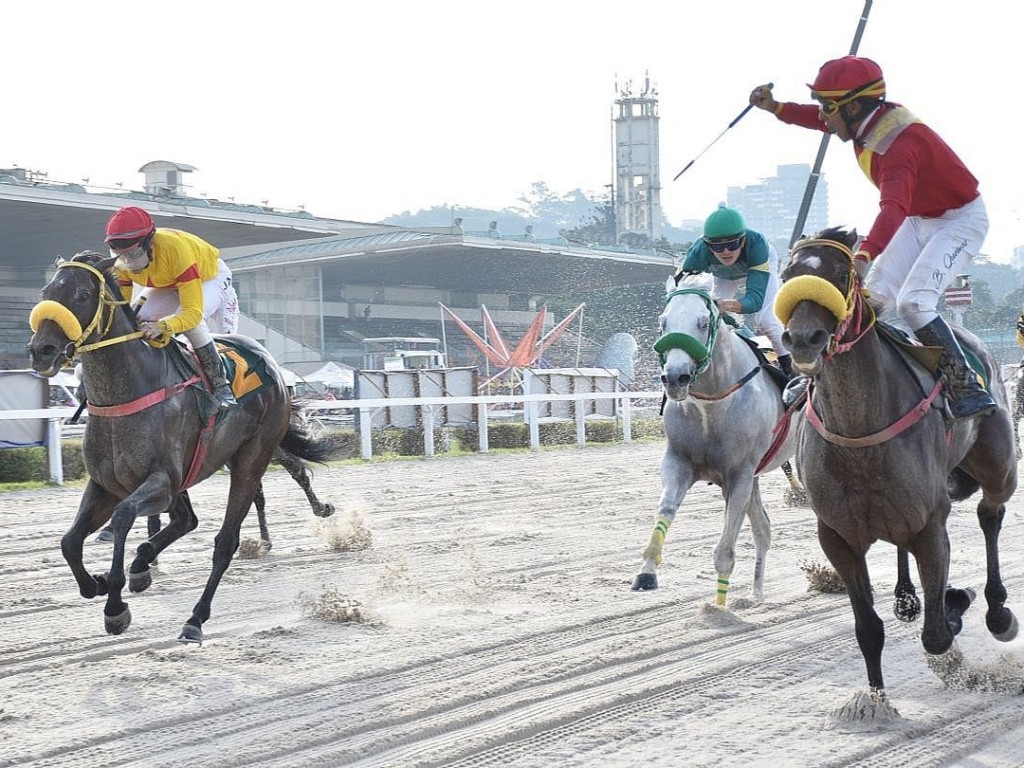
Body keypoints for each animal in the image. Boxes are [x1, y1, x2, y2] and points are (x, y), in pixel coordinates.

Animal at [27, 252, 344, 643]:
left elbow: (123, 517)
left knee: (228, 538)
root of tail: (270, 362)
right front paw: (97, 583)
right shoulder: (105, 484)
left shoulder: (161, 481)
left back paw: (195, 618)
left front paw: (115, 605)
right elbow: (69, 542)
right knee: (187, 520)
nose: (41, 350)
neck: (130, 392)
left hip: (251, 457)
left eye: (83, 295)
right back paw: (143, 566)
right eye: (46, 292)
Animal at [630, 274, 806, 606]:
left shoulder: (738, 476)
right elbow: (666, 509)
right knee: (763, 529)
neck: (712, 403)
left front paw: (719, 609)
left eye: (702, 323)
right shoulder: (680, 462)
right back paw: (756, 593)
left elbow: (725, 550)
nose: (675, 378)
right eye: (663, 322)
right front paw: (646, 572)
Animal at [774, 227, 1015, 720]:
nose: (802, 339)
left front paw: (955, 601)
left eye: (840, 274)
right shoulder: (837, 536)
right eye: (788, 275)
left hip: (1000, 465)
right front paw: (875, 704)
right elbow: (868, 628)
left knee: (991, 514)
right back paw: (907, 598)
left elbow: (937, 634)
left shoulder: (930, 525)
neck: (859, 428)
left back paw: (997, 610)